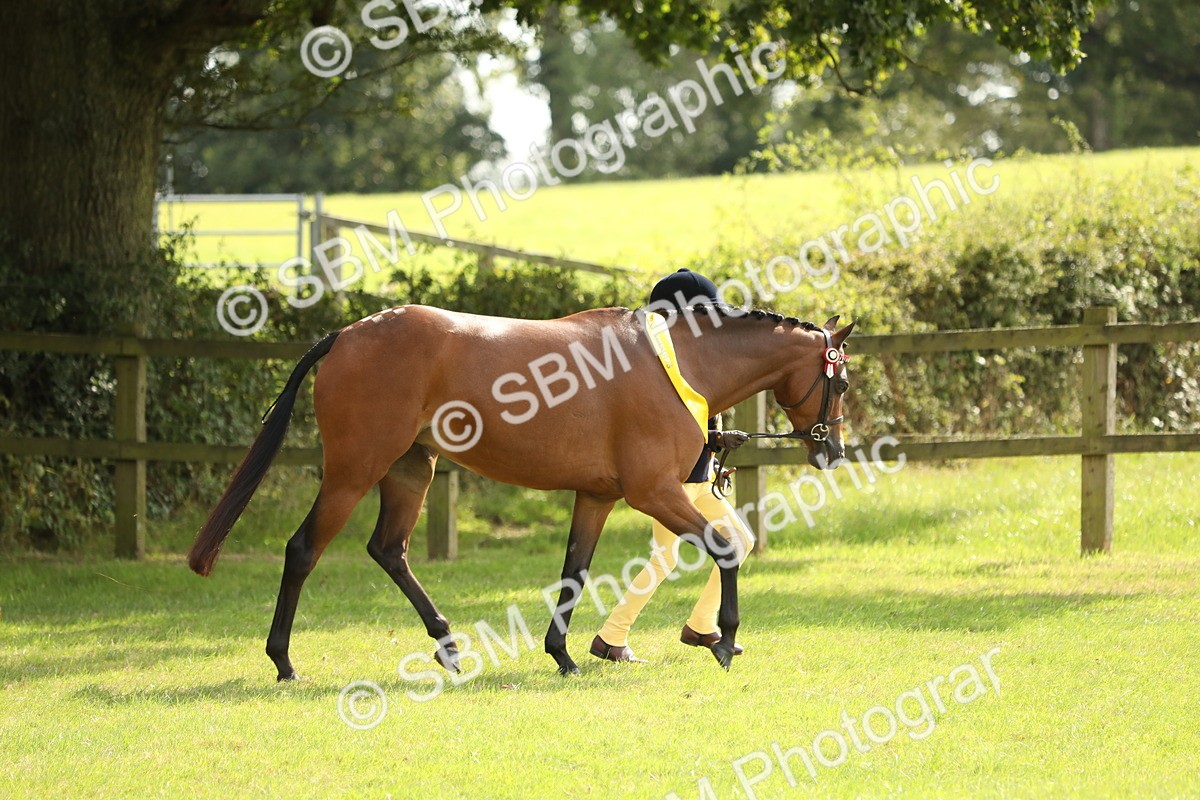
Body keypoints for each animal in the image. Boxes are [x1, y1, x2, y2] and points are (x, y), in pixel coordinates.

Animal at [188, 302, 854, 679]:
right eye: (843, 381)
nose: (834, 452)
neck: (675, 362)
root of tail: (350, 333)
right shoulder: (653, 492)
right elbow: (725, 548)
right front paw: (725, 640)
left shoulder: (598, 497)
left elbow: (574, 572)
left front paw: (563, 655)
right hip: (354, 472)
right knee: (304, 550)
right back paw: (283, 662)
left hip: (411, 469)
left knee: (389, 550)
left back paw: (448, 646)